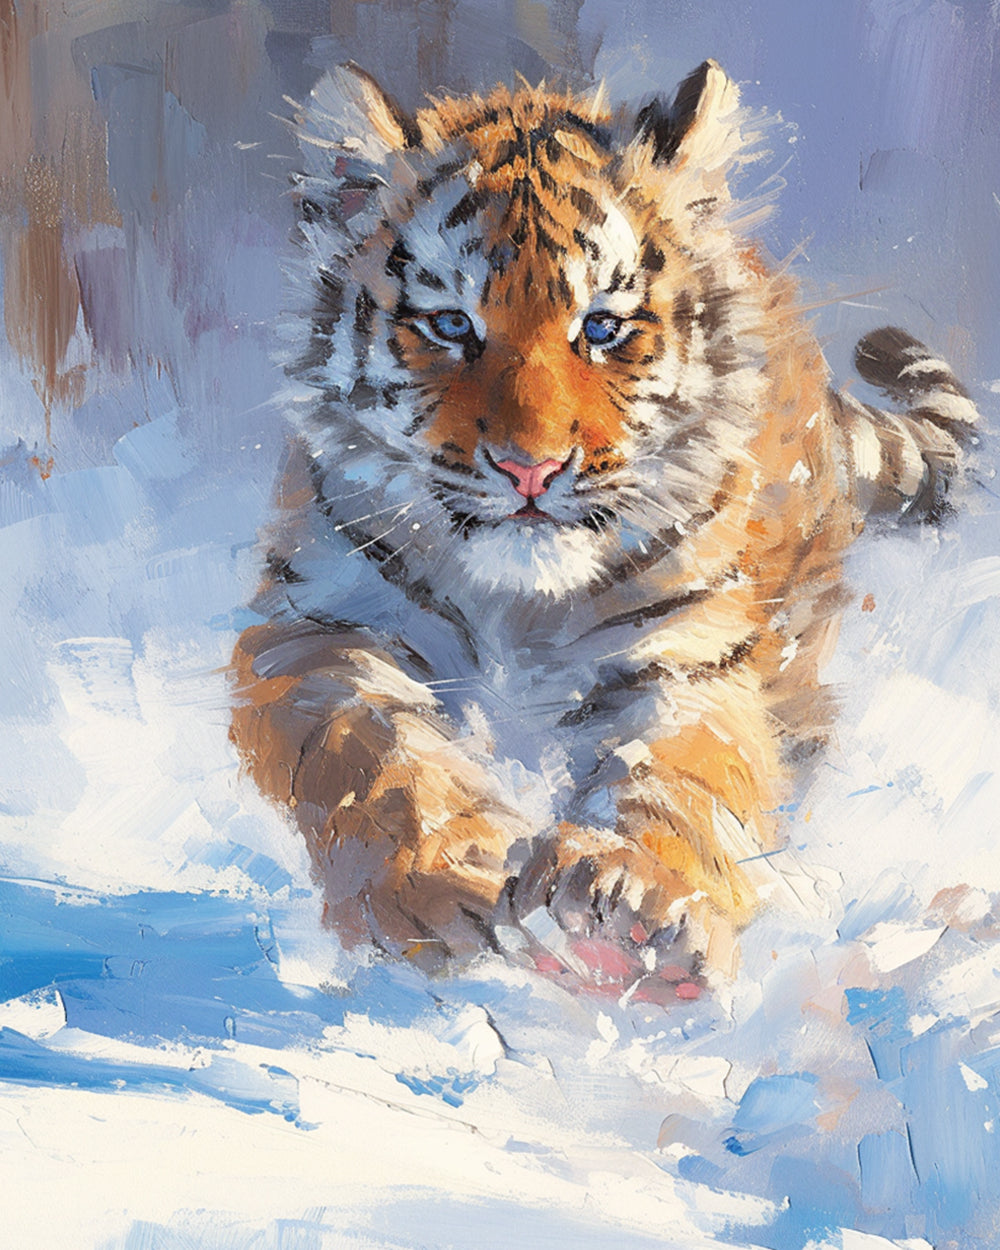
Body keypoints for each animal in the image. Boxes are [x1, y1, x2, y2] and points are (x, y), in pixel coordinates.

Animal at [230, 60, 979, 988]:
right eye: (450, 325)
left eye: (602, 328)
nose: (531, 467)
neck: (519, 603)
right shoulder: (318, 628)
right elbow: (374, 756)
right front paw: (441, 881)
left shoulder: (688, 650)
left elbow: (680, 769)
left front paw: (632, 896)